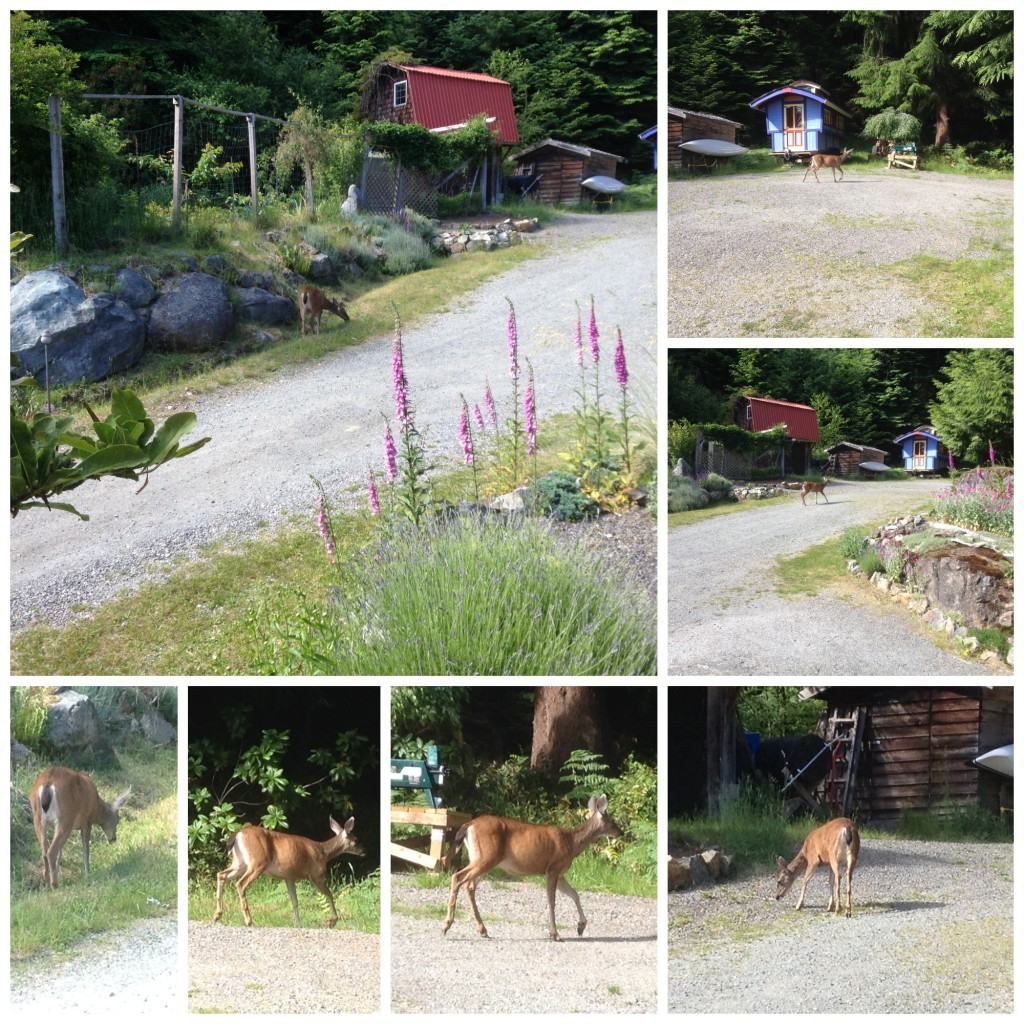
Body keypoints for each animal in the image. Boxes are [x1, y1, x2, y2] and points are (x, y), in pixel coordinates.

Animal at [211, 815, 364, 929]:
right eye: (356, 840)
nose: (364, 851)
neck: (323, 852)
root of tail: (237, 835)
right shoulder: (316, 875)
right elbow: (330, 894)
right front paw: (332, 921)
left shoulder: (289, 877)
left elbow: (294, 901)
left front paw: (298, 924)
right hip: (257, 862)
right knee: (240, 884)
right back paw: (249, 921)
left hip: (239, 862)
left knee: (221, 874)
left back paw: (217, 915)